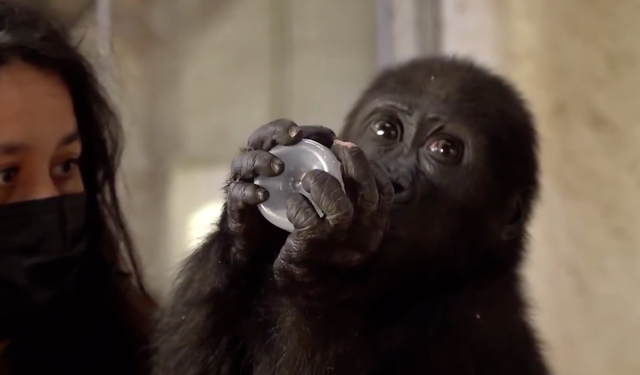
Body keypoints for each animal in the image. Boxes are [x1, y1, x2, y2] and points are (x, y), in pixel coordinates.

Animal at [151, 56, 552, 375]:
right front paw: (242, 234)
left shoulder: (477, 328)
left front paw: (318, 265)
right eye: (385, 130)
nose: (395, 181)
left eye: (445, 150)